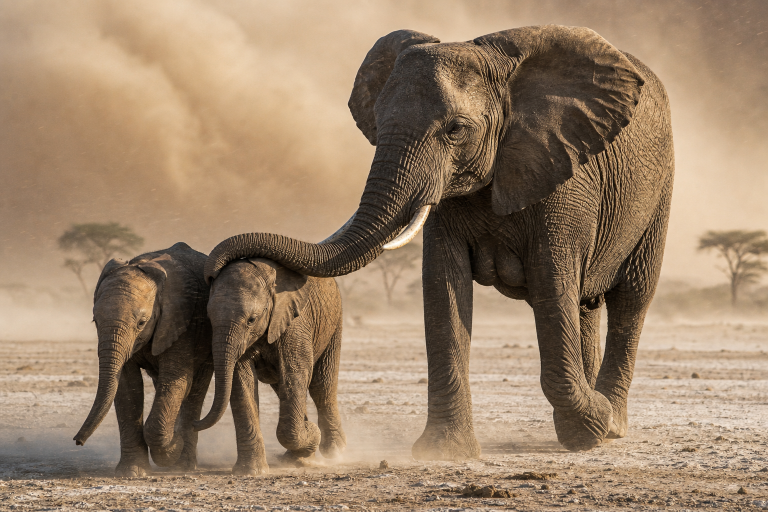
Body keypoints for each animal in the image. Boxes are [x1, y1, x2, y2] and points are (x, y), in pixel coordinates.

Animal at [73, 242, 213, 476]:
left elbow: (175, 381)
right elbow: (128, 387)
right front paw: (131, 472)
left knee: (195, 390)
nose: (77, 441)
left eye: (141, 323)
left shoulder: (182, 322)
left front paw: (173, 445)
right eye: (95, 320)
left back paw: (182, 464)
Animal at [194, 258, 346, 474]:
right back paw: (299, 455)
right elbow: (242, 381)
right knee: (283, 388)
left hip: (334, 320)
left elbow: (295, 373)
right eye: (209, 319)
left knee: (321, 385)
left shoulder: (295, 323)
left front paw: (311, 432)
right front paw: (251, 471)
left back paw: (334, 453)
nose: (193, 423)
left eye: (251, 320)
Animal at [204, 25, 674, 458]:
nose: (214, 265)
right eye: (379, 124)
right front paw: (444, 452)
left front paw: (592, 424)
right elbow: (443, 284)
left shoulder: (565, 173)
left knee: (631, 297)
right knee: (586, 303)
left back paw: (611, 423)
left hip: (660, 191)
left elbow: (552, 281)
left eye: (455, 129)